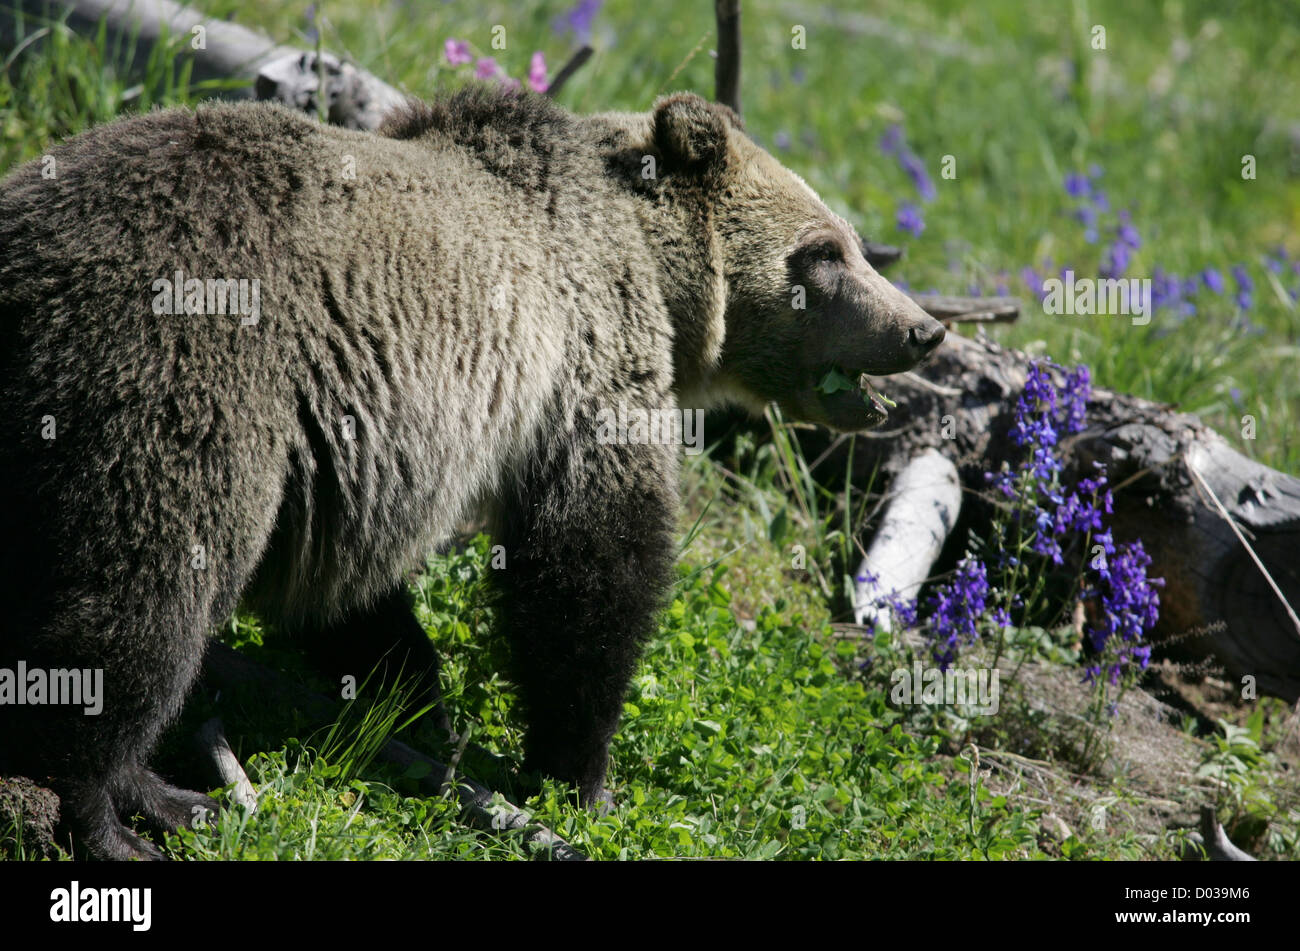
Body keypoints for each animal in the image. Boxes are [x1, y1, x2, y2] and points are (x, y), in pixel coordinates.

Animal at [0, 84, 944, 860]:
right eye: (825, 250)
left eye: (853, 244)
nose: (923, 330)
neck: (650, 267)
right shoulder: (579, 360)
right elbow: (588, 566)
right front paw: (577, 771)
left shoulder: (352, 446)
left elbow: (349, 586)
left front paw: (410, 698)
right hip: (179, 371)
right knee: (146, 592)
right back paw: (126, 808)